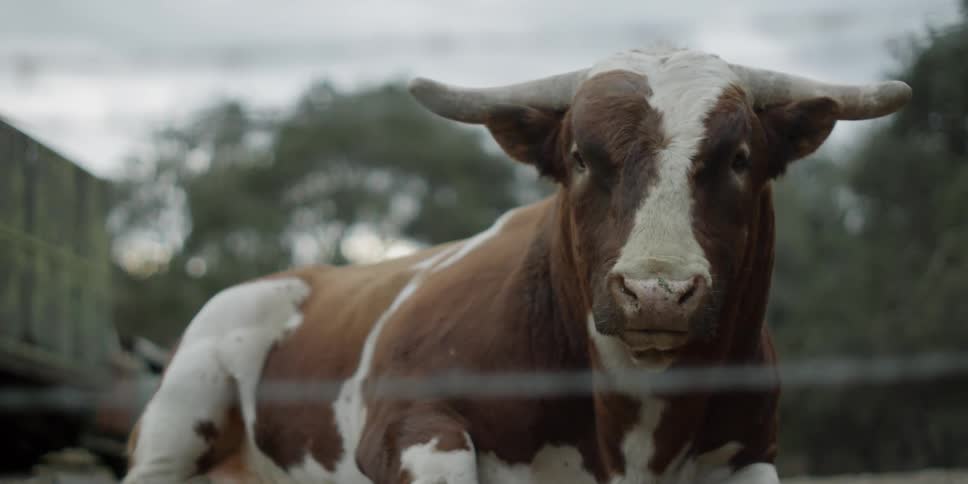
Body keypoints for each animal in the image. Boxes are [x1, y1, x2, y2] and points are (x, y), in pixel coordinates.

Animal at [122, 47, 911, 484]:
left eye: (739, 158)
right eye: (581, 157)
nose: (657, 293)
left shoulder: (750, 451)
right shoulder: (407, 423)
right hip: (172, 426)